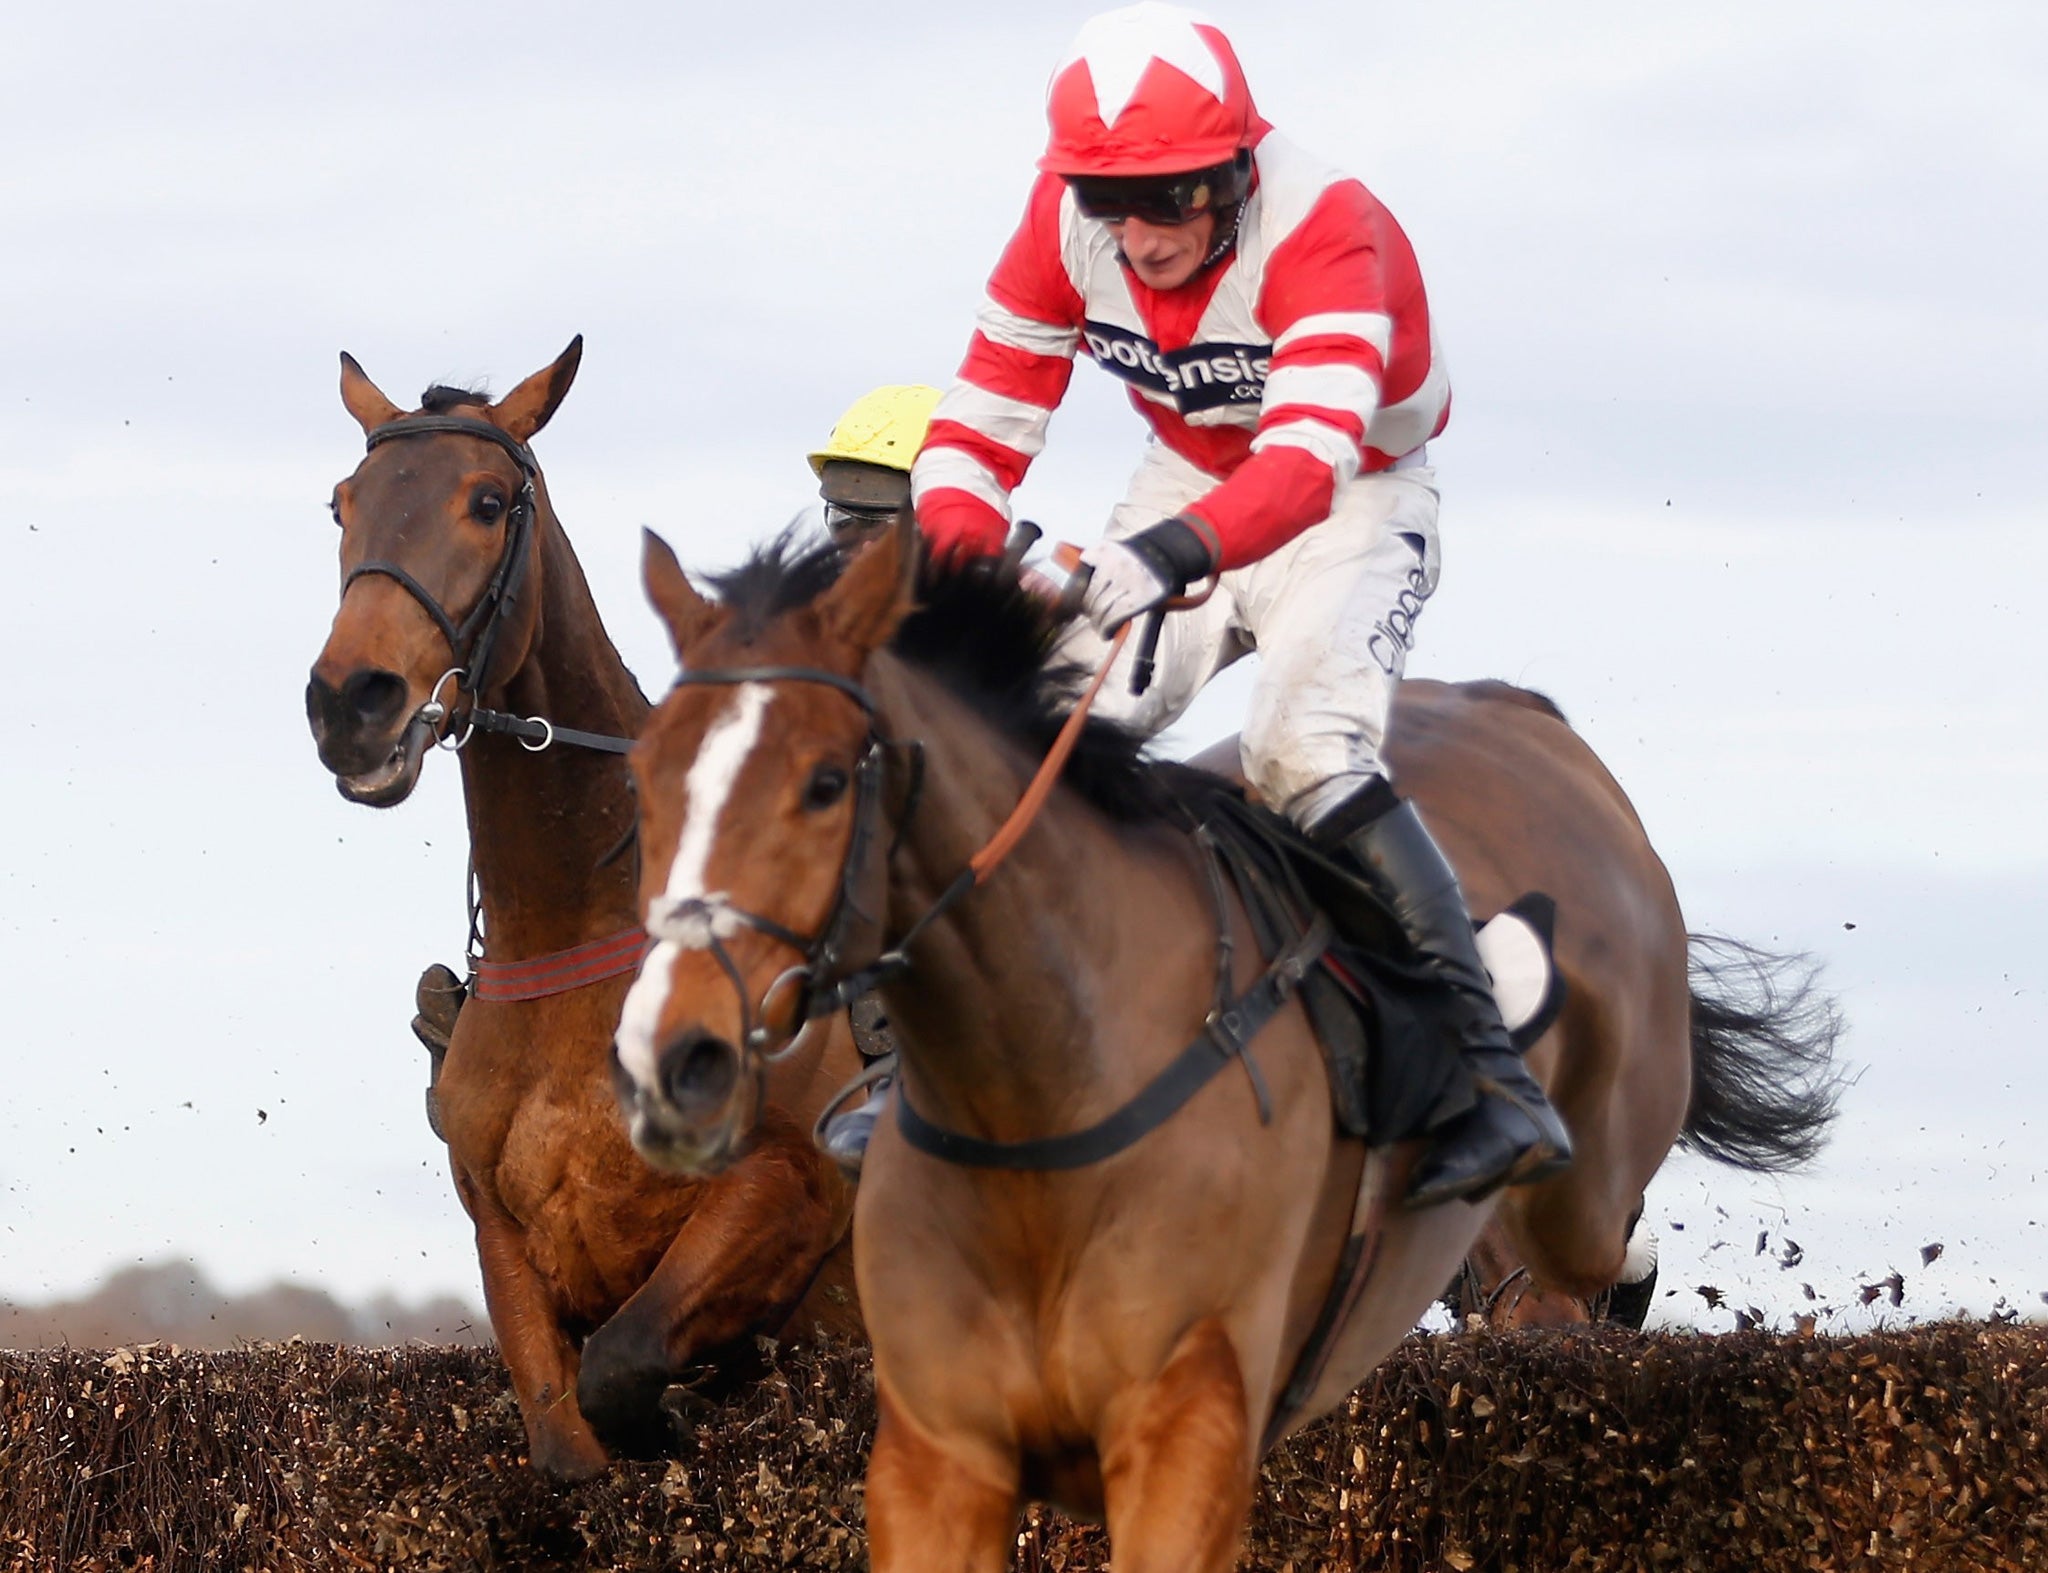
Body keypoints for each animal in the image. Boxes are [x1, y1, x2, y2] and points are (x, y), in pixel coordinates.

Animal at [299, 337, 860, 1482]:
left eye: (487, 500)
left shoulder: (787, 1185)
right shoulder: (503, 1240)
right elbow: (568, 1430)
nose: (350, 703)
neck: (579, 929)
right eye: (342, 504)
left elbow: (629, 1357)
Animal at [610, 522, 1843, 1564]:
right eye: (644, 773)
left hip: (1584, 1166)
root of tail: (1528, 714)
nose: (673, 1061)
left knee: (1587, 1248)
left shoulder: (1186, 1434)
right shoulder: (937, 1453)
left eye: (825, 782)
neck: (1036, 1097)